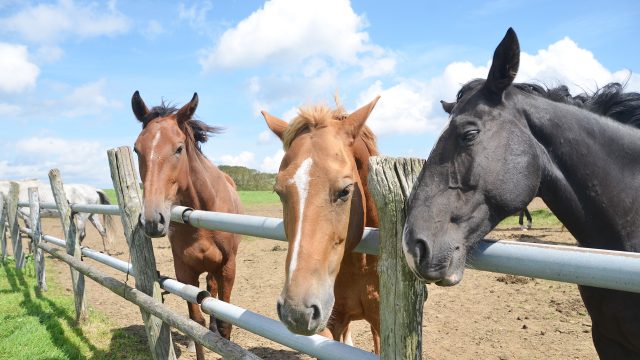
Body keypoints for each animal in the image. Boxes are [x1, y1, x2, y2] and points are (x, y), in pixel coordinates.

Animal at [131, 91, 241, 358]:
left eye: (179, 148)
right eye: (137, 150)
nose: (152, 220)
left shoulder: (227, 268)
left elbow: (225, 326)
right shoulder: (185, 270)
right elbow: (194, 322)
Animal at [262, 95, 382, 352]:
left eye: (345, 191)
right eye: (278, 192)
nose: (296, 312)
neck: (362, 265)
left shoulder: (382, 323)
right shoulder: (333, 323)